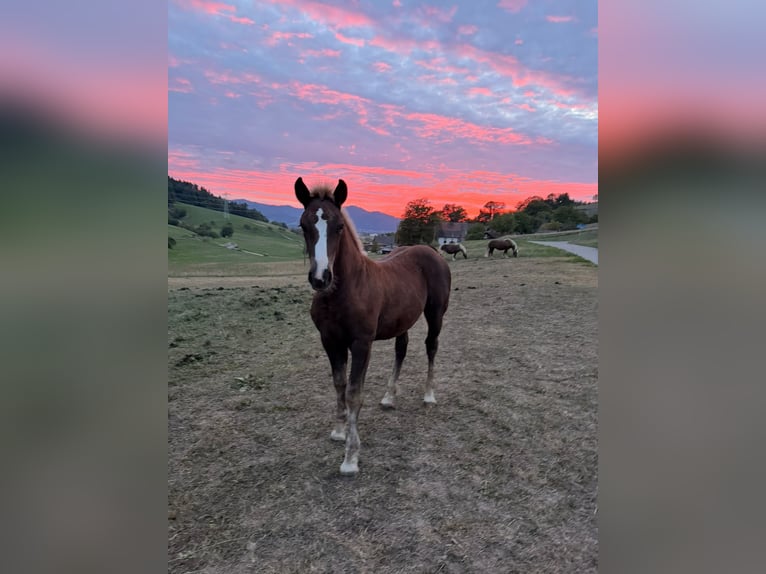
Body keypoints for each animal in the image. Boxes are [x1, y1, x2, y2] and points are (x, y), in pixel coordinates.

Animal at [295, 177, 452, 475]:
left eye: (339, 226)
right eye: (303, 225)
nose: (321, 278)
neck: (343, 290)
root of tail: (430, 251)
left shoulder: (361, 343)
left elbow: (354, 392)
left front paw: (350, 458)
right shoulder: (330, 341)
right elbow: (339, 385)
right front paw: (339, 431)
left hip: (436, 314)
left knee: (432, 347)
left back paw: (429, 395)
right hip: (403, 320)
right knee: (402, 349)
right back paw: (389, 398)